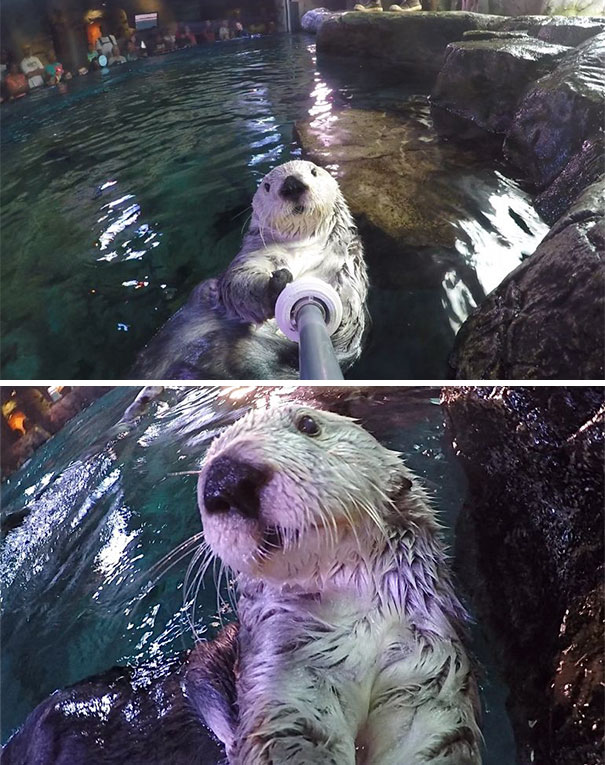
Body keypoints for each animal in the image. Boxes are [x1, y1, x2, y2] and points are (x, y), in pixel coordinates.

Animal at [131, 161, 368, 380]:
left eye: (313, 171)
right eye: (267, 186)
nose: (292, 184)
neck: (303, 248)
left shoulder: (348, 272)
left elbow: (348, 326)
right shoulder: (254, 256)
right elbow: (238, 284)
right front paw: (276, 286)